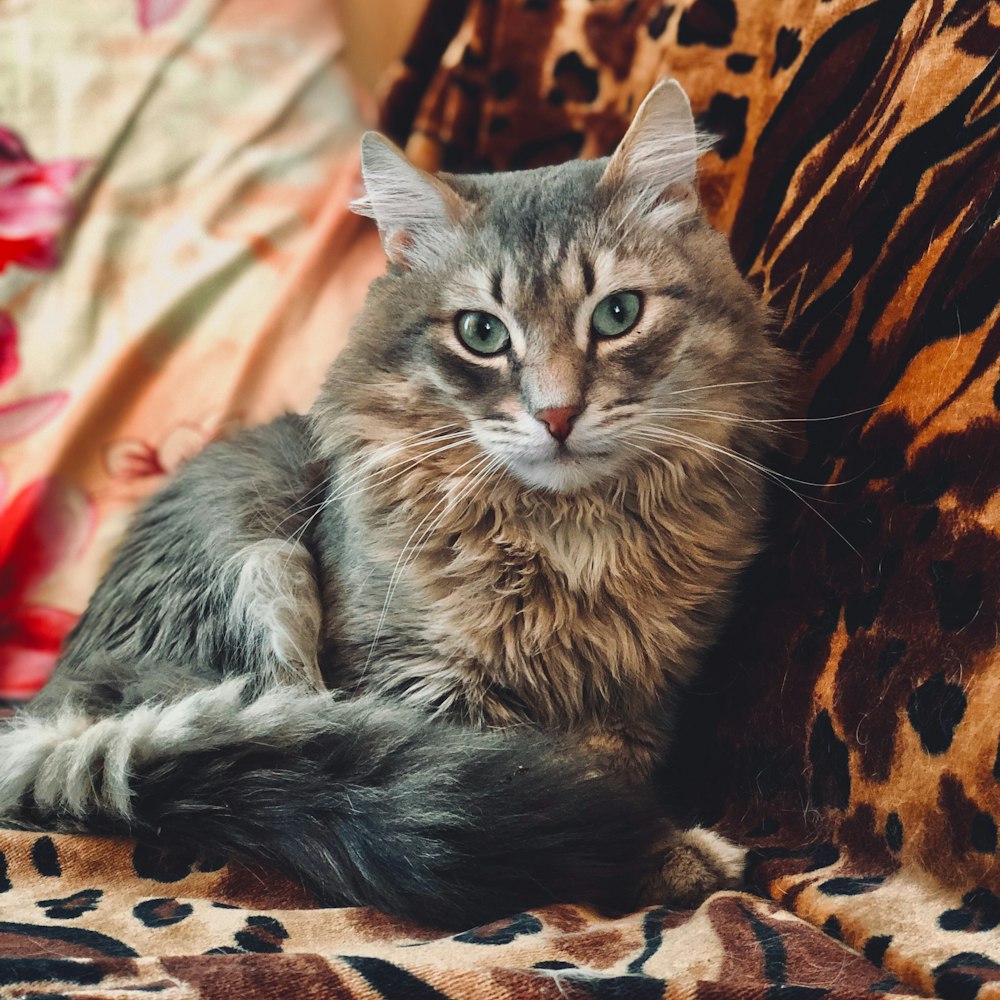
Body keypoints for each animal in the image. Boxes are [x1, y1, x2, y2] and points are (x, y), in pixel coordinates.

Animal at [0, 80, 784, 928]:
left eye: (617, 314)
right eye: (481, 333)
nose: (557, 415)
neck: (568, 537)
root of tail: (50, 708)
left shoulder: (638, 693)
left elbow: (610, 768)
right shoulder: (422, 680)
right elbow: (519, 782)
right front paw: (661, 852)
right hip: (264, 576)